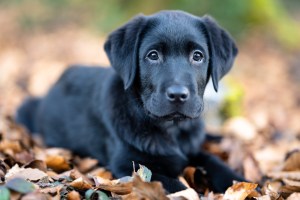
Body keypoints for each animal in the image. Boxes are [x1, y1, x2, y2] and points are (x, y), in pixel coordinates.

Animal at [16, 10, 245, 193]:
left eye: (197, 56)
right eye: (153, 55)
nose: (178, 95)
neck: (170, 129)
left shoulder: (192, 150)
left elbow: (216, 163)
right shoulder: (129, 164)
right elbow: (174, 186)